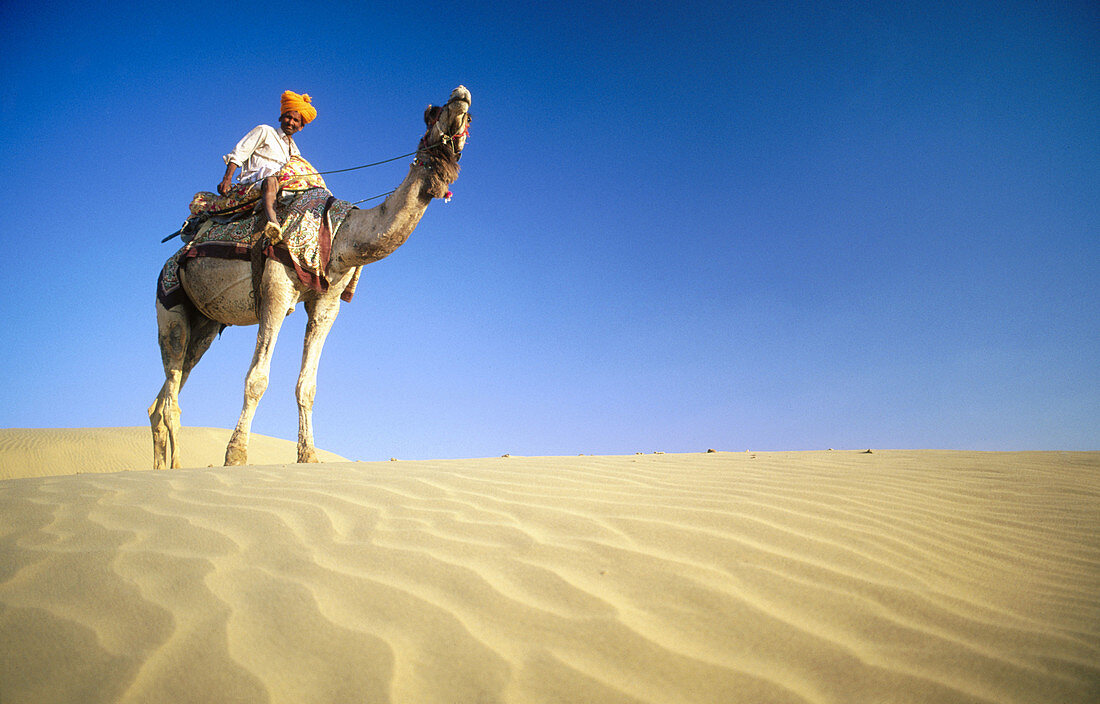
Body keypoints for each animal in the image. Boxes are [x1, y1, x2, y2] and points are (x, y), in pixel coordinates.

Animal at [149, 89, 468, 473]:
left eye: (469, 116)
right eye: (434, 112)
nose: (462, 95)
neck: (342, 234)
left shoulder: (326, 301)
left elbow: (308, 386)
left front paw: (308, 455)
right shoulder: (275, 287)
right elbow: (257, 378)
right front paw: (236, 455)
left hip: (206, 324)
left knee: (165, 394)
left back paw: (158, 467)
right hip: (170, 303)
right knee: (172, 389)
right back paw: (176, 467)